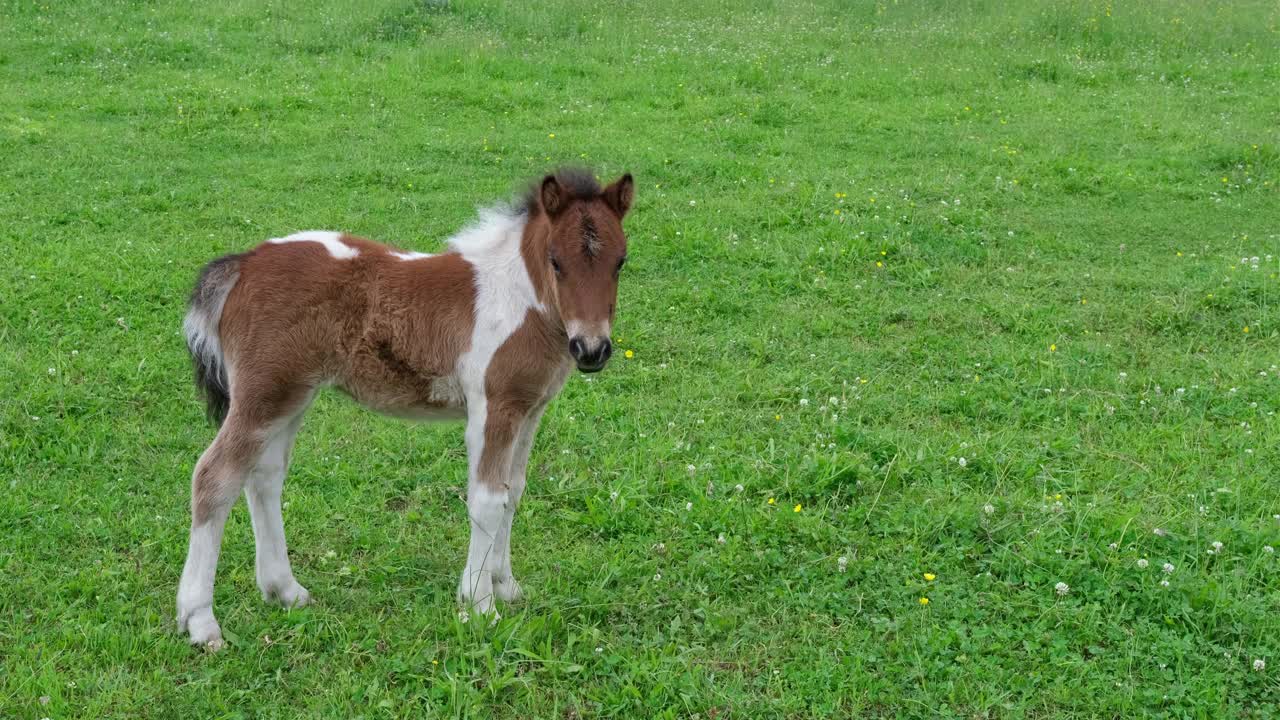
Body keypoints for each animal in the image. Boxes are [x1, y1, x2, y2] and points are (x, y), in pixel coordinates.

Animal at [175, 169, 634, 650]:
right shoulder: (493, 407)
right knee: (214, 477)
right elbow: (488, 500)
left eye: (620, 261)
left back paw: (284, 590)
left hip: (290, 394)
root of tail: (243, 264)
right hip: (264, 393)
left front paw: (505, 586)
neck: (519, 299)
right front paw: (479, 604)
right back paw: (201, 620)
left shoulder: (529, 409)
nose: (592, 350)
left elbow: (513, 492)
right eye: (556, 261)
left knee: (262, 477)